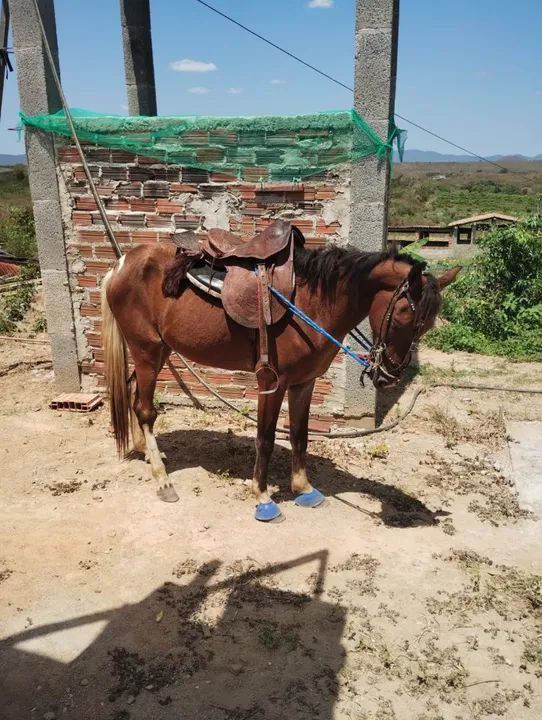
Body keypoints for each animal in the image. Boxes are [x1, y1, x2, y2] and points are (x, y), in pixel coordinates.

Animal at [101, 224, 459, 522]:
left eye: (426, 326)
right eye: (401, 316)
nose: (388, 377)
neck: (312, 300)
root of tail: (120, 264)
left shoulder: (305, 382)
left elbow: (300, 435)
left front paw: (303, 489)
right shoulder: (271, 382)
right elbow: (267, 438)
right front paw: (262, 497)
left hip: (158, 351)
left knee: (133, 393)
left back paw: (146, 454)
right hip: (147, 350)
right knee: (145, 410)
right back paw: (163, 480)